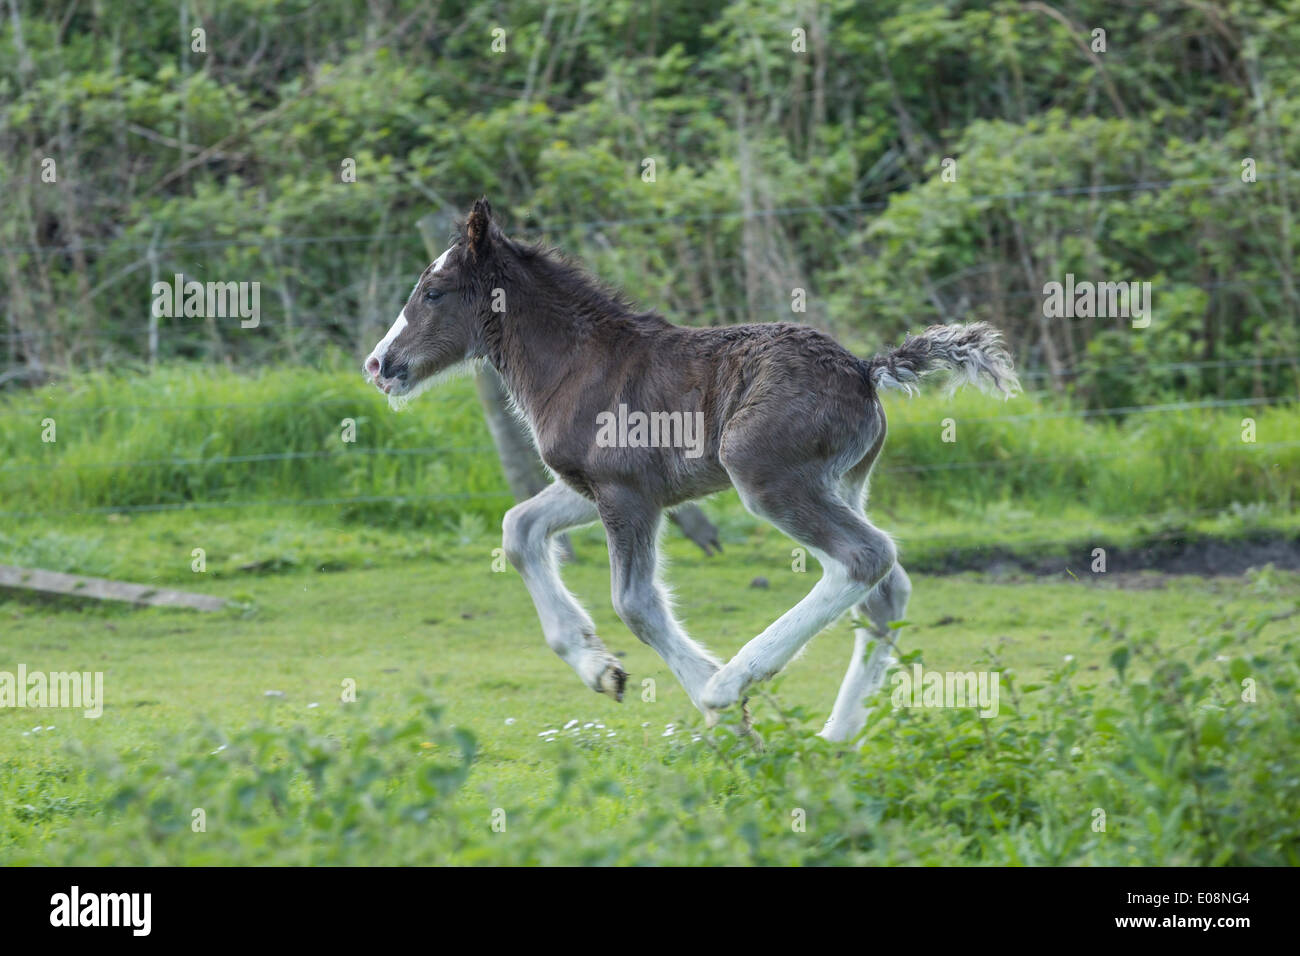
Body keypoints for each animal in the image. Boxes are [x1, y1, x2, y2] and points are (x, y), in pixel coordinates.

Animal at [364, 200, 1013, 738]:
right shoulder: (601, 487)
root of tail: (864, 368)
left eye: (433, 291)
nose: (378, 363)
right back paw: (836, 736)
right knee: (886, 589)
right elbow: (518, 529)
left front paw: (717, 703)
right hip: (844, 483)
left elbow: (635, 602)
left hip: (765, 476)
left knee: (866, 556)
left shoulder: (624, 493)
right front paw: (598, 668)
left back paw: (735, 681)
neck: (578, 362)